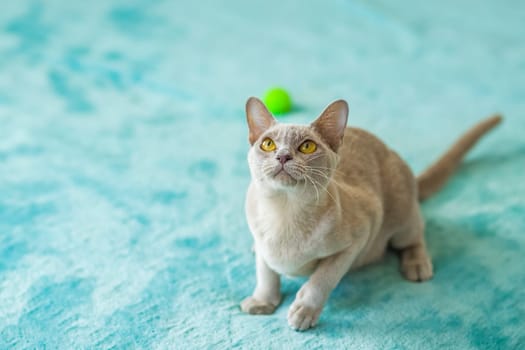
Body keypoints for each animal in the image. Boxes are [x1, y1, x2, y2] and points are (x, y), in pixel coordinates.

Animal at [239, 96, 502, 330]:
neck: (282, 212)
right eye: (268, 144)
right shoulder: (261, 241)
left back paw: (417, 266)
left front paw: (304, 311)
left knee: (416, 235)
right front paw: (262, 302)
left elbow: (321, 279)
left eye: (307, 146)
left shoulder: (357, 238)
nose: (282, 156)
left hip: (401, 217)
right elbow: (265, 274)